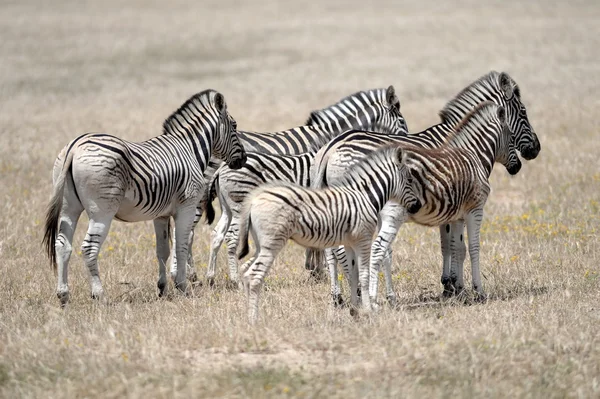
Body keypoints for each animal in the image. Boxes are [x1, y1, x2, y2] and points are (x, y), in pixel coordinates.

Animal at [42, 89, 246, 306]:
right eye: (234, 126)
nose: (243, 159)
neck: (190, 149)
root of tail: (75, 146)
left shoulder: (161, 214)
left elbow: (163, 251)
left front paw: (163, 288)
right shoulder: (187, 207)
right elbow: (181, 247)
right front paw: (182, 287)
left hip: (69, 207)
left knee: (62, 245)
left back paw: (63, 295)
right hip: (102, 211)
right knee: (89, 248)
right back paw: (100, 295)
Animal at [171, 85, 410, 282]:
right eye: (402, 122)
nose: (406, 147)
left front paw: (314, 268)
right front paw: (318, 270)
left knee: (208, 233)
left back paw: (202, 276)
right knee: (187, 232)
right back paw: (184, 274)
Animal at [234, 145, 422, 324]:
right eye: (410, 180)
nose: (418, 206)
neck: (365, 197)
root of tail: (253, 201)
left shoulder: (350, 242)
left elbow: (353, 273)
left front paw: (355, 310)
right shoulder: (363, 238)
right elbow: (364, 274)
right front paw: (368, 311)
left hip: (261, 244)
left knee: (247, 272)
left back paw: (248, 316)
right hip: (272, 243)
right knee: (255, 275)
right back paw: (254, 320)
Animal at [310, 70, 540, 304]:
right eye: (523, 112)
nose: (536, 150)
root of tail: (330, 148)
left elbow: (450, 245)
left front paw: (452, 285)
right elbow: (453, 246)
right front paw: (453, 285)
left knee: (332, 250)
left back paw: (338, 296)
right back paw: (356, 291)